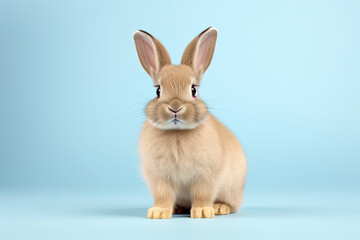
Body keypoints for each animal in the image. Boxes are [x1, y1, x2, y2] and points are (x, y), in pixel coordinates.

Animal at [133, 27, 248, 218]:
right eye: (158, 90)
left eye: (193, 90)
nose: (175, 107)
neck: (177, 132)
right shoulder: (160, 177)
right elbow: (163, 195)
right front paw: (158, 212)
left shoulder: (205, 176)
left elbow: (202, 194)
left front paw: (202, 212)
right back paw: (177, 208)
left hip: (231, 188)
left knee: (232, 204)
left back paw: (219, 208)